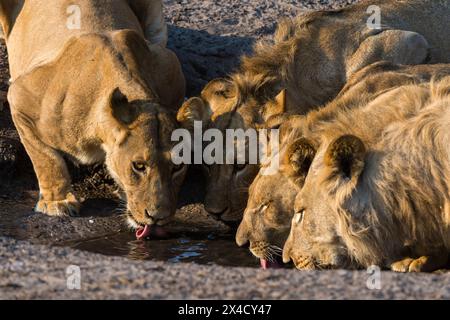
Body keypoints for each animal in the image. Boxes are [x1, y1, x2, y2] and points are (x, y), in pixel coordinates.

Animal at [0, 0, 186, 238]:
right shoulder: (20, 97)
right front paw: (57, 202)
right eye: (139, 166)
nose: (158, 217)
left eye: (177, 168)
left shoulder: (170, 67)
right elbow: (46, 157)